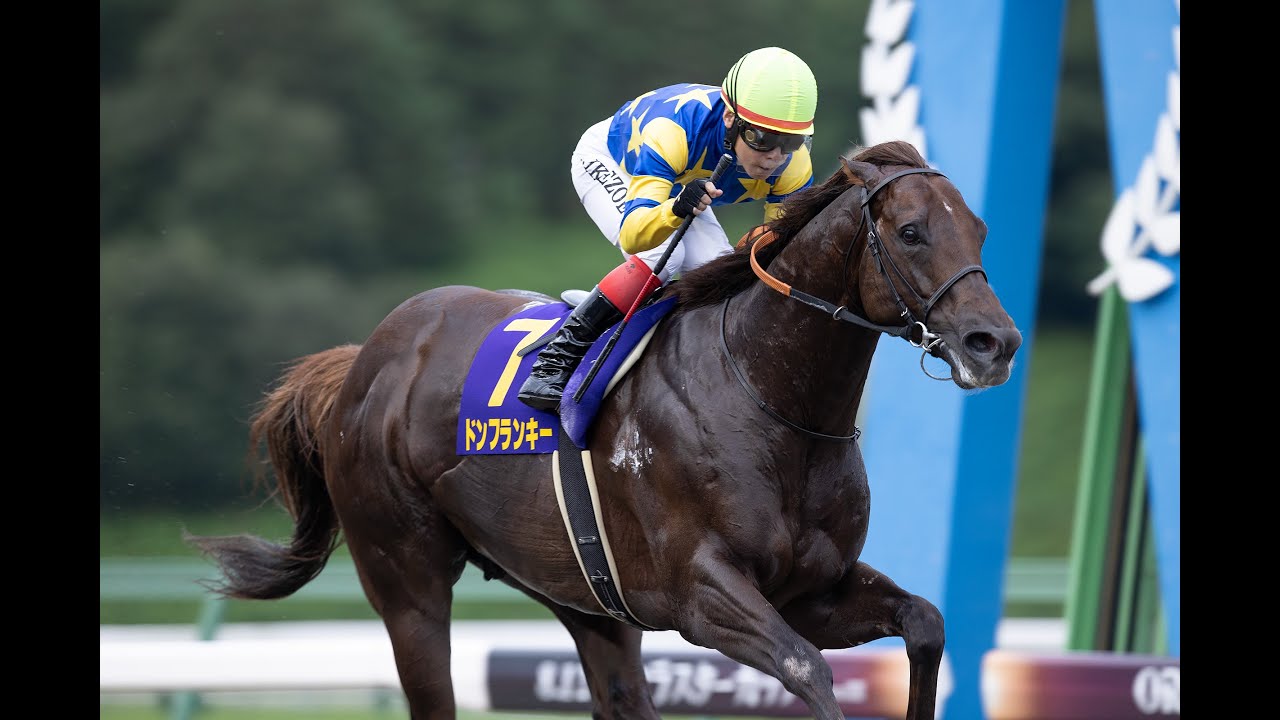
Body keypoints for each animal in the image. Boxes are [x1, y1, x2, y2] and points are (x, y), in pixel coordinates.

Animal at [187, 140, 1022, 720]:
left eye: (982, 229)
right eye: (911, 232)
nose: (996, 343)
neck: (770, 399)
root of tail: (367, 359)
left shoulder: (811, 591)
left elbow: (925, 623)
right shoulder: (701, 594)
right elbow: (807, 671)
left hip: (586, 599)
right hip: (407, 582)